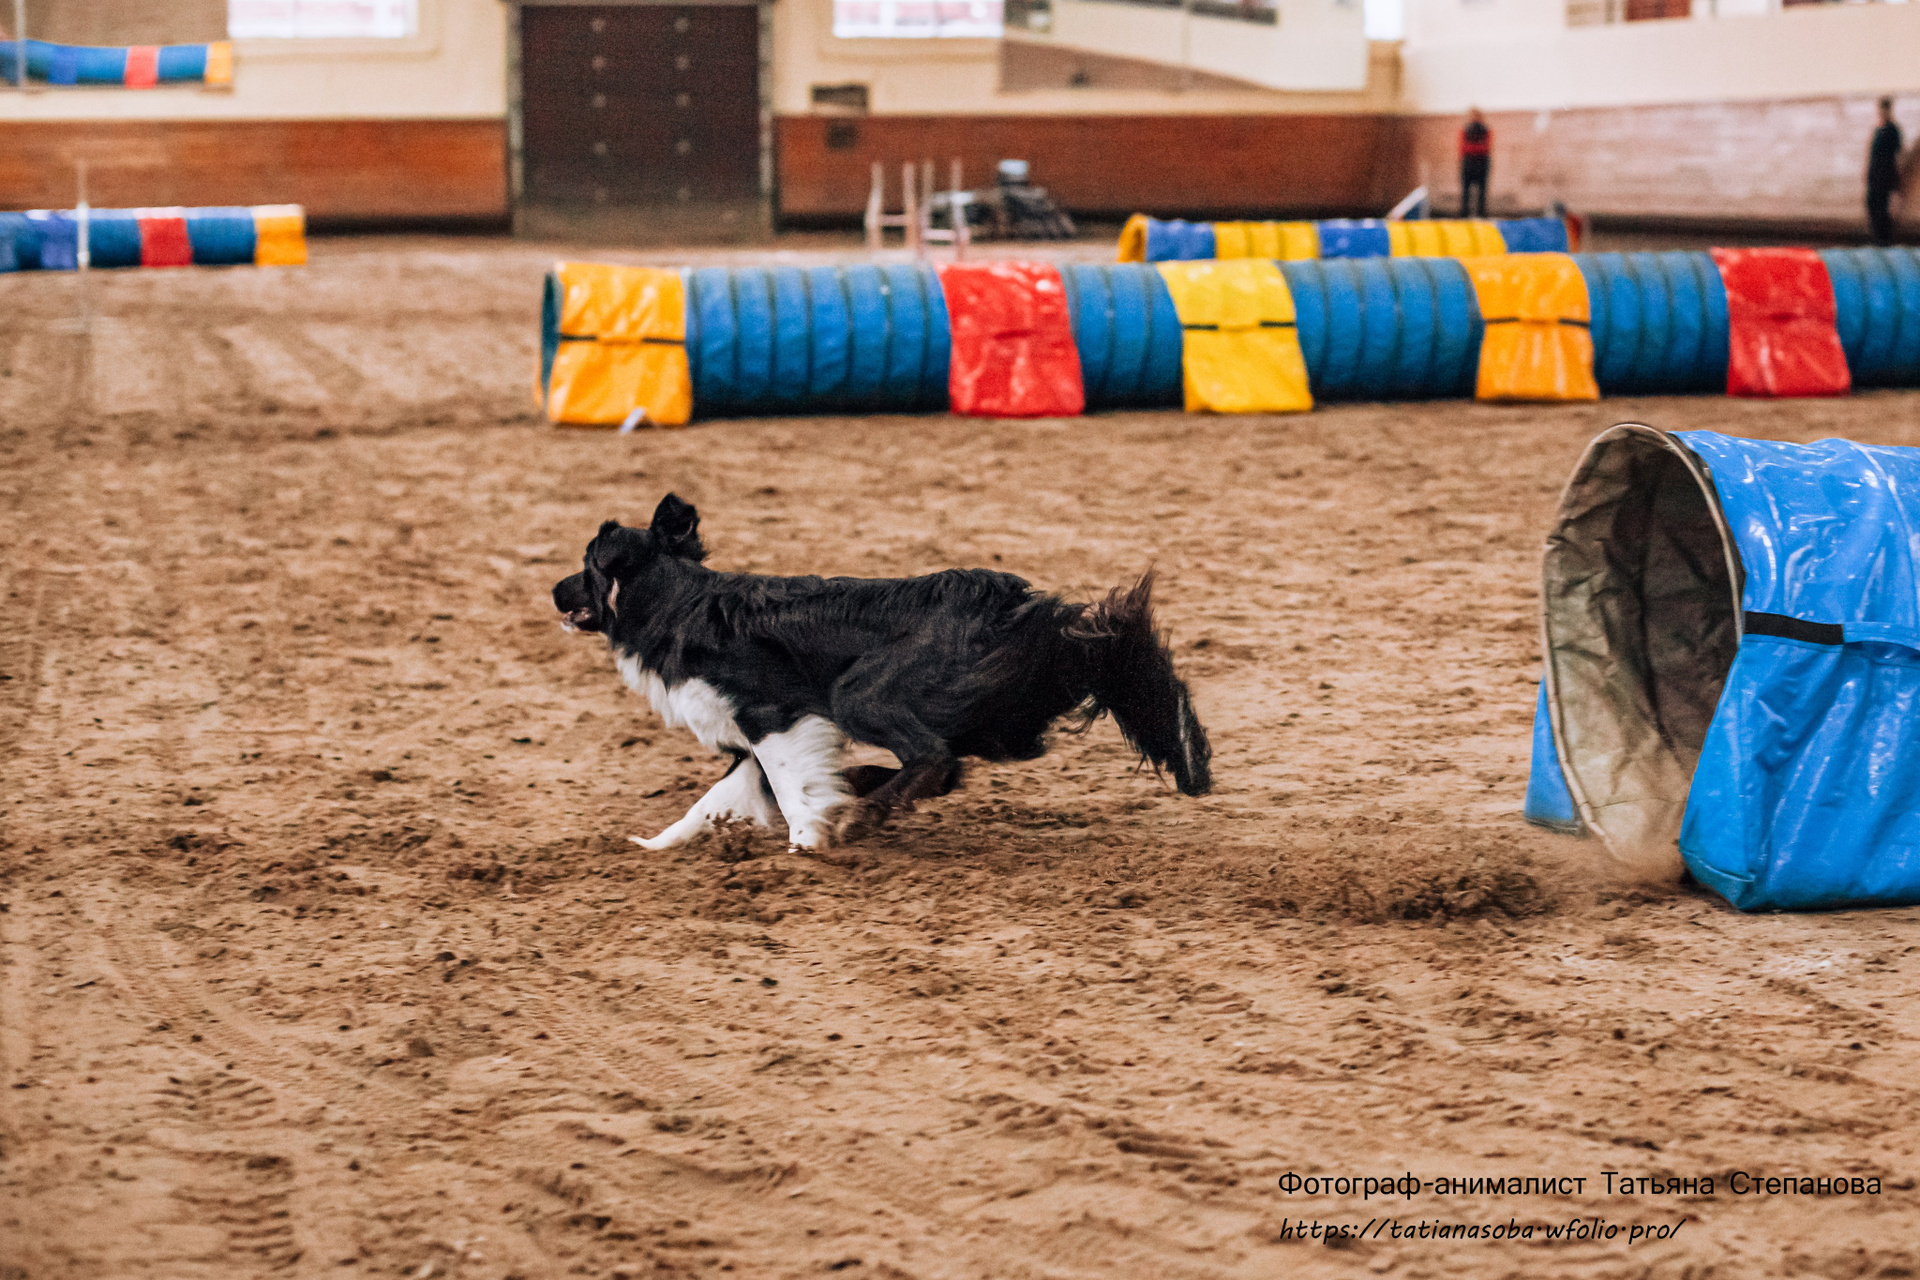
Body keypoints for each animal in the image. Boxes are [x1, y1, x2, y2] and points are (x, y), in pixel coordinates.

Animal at [553, 494, 1211, 851]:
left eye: (586, 565)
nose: (553, 591)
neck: (680, 604)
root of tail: (1016, 608)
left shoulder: (772, 715)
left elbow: (786, 788)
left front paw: (809, 841)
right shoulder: (750, 735)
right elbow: (714, 800)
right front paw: (653, 846)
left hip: (860, 692)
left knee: (934, 758)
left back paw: (860, 813)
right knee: (943, 768)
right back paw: (862, 793)